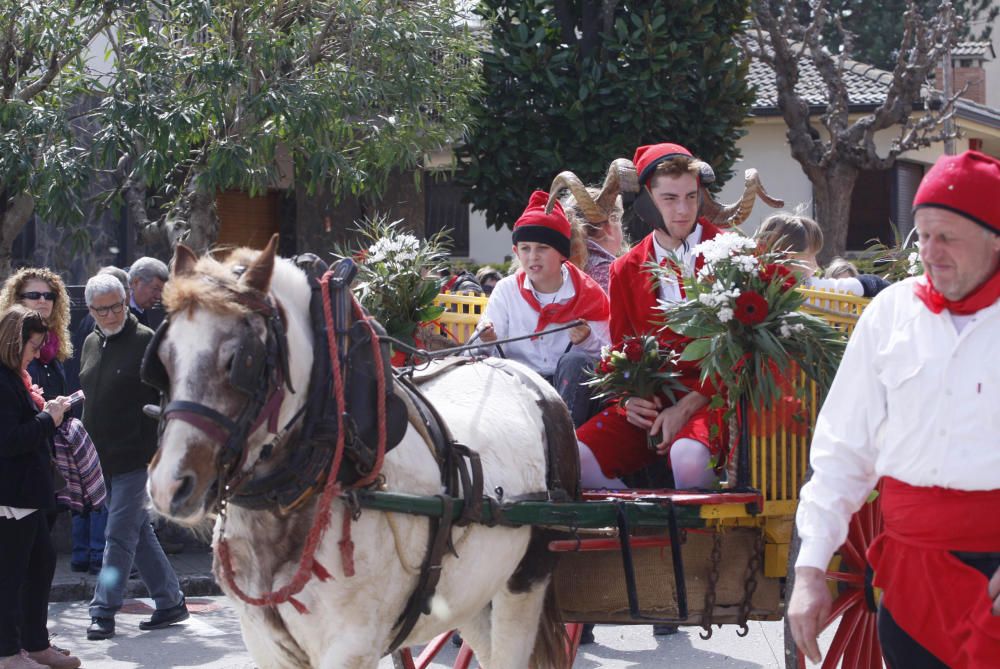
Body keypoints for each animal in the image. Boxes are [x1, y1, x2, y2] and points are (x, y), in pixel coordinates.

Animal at [142, 237, 580, 668]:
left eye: (241, 360)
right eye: (162, 359)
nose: (168, 486)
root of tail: (524, 375)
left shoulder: (350, 646)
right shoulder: (263, 641)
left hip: (525, 583)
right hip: (470, 592)